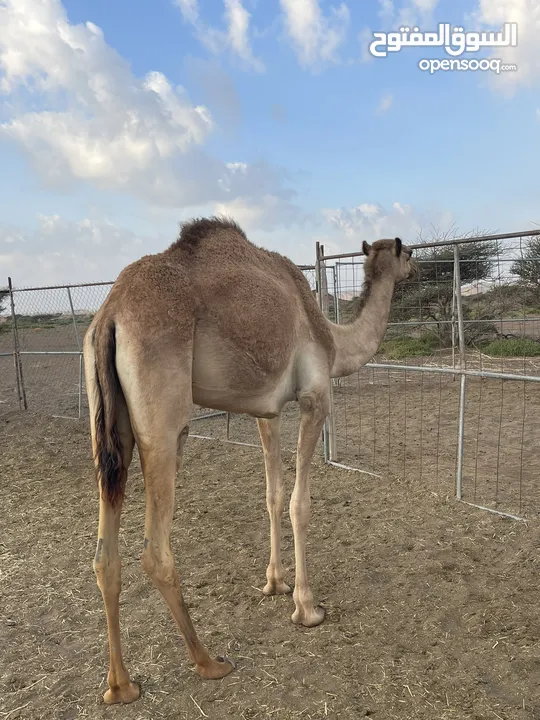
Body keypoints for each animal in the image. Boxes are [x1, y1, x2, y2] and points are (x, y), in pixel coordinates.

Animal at [83, 218, 414, 704]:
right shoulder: (316, 397)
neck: (333, 337)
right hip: (164, 422)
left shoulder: (266, 411)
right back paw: (209, 662)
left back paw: (120, 686)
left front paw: (274, 583)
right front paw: (306, 607)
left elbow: (273, 495)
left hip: (109, 425)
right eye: (407, 253)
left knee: (105, 554)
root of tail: (111, 314)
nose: (417, 267)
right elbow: (299, 504)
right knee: (155, 551)